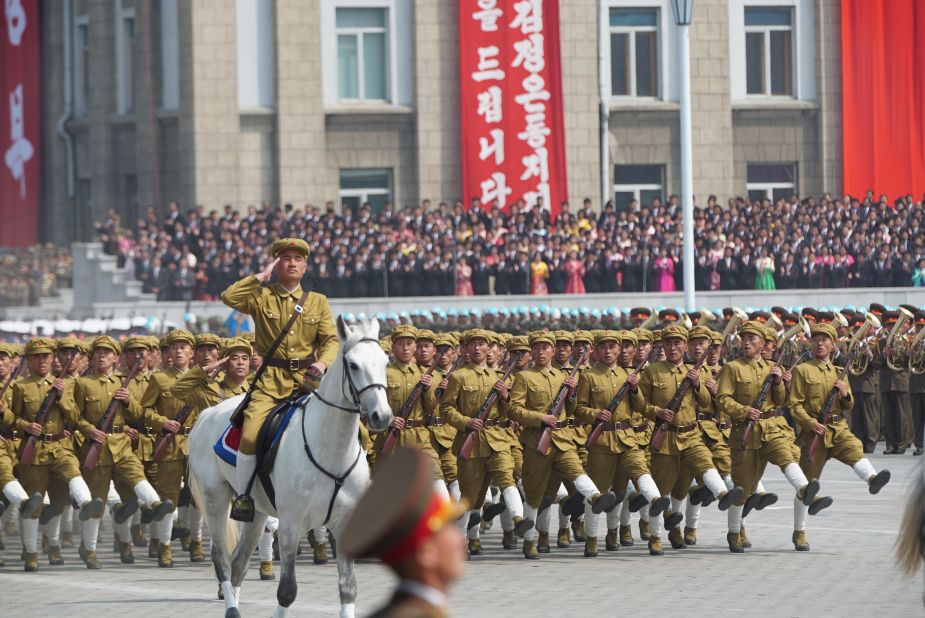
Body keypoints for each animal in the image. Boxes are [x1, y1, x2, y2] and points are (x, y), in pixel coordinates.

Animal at [188, 318, 390, 616]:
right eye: (353, 365)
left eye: (385, 362)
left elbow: (348, 588)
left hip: (256, 511)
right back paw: (231, 607)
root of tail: (206, 413)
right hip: (215, 498)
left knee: (239, 562)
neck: (331, 450)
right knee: (222, 558)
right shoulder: (291, 524)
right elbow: (287, 591)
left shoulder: (345, 525)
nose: (382, 416)